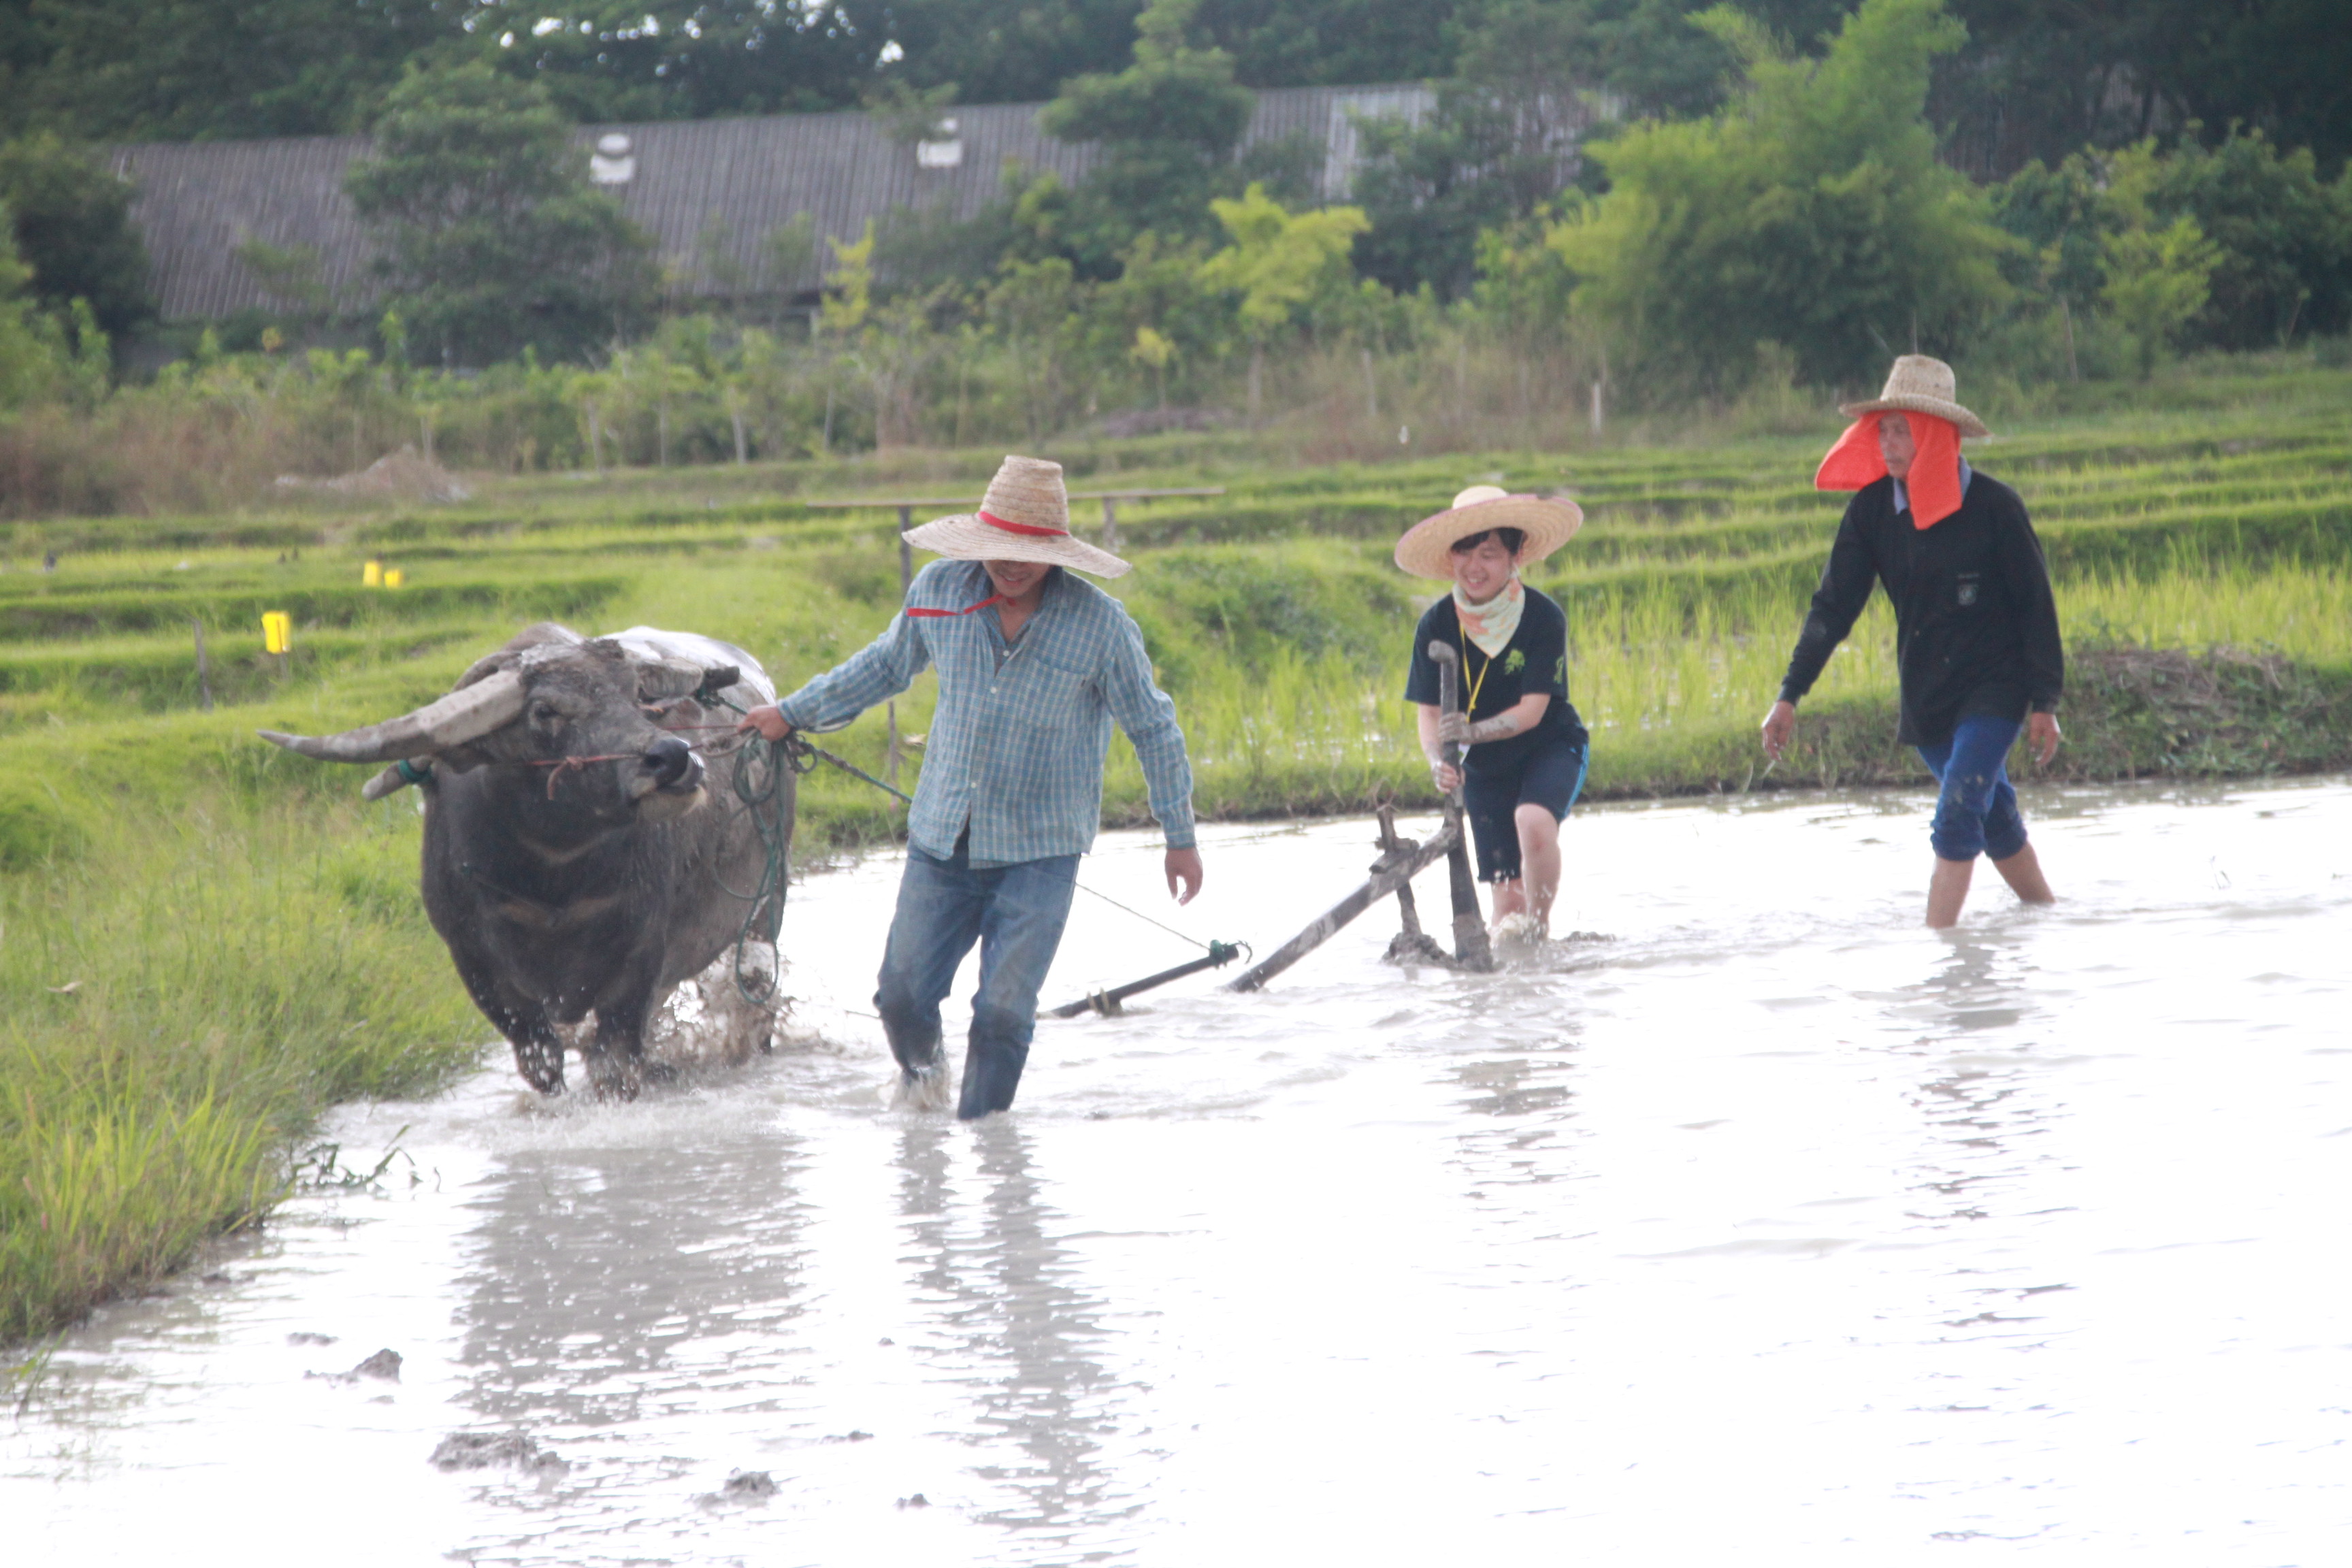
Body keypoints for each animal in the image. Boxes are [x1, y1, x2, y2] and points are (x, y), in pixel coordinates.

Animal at [261, 623, 793, 1098]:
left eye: (637, 695)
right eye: (545, 710)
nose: (673, 759)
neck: (552, 876)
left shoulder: (642, 952)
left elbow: (614, 1062)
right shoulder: (475, 963)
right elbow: (542, 1062)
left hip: (766, 902)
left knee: (754, 986)